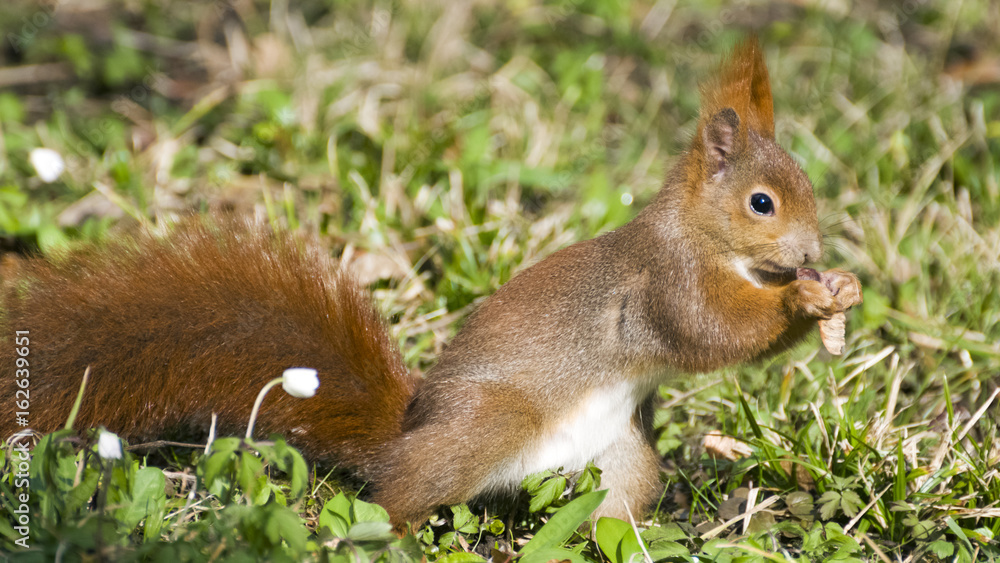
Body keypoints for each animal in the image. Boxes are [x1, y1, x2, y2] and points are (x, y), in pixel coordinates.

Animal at [0, 37, 860, 532]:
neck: (702, 236)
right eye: (762, 202)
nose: (812, 251)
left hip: (623, 454)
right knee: (398, 497)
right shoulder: (664, 283)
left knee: (606, 512)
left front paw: (838, 290)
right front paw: (801, 299)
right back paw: (402, 531)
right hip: (493, 423)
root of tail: (405, 433)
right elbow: (712, 332)